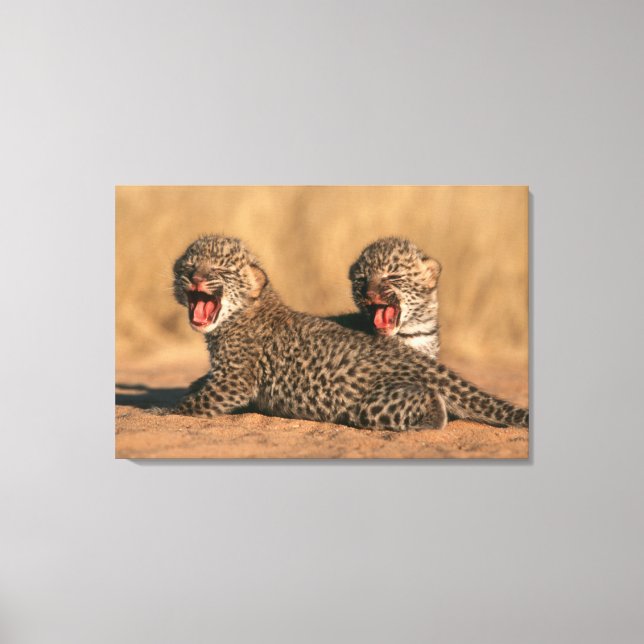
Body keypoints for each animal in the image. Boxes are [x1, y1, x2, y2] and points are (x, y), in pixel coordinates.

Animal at [165, 234, 528, 431]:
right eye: (188, 267)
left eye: (219, 270)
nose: (194, 279)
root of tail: (424, 364)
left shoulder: (233, 380)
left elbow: (196, 402)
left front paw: (163, 411)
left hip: (369, 404)